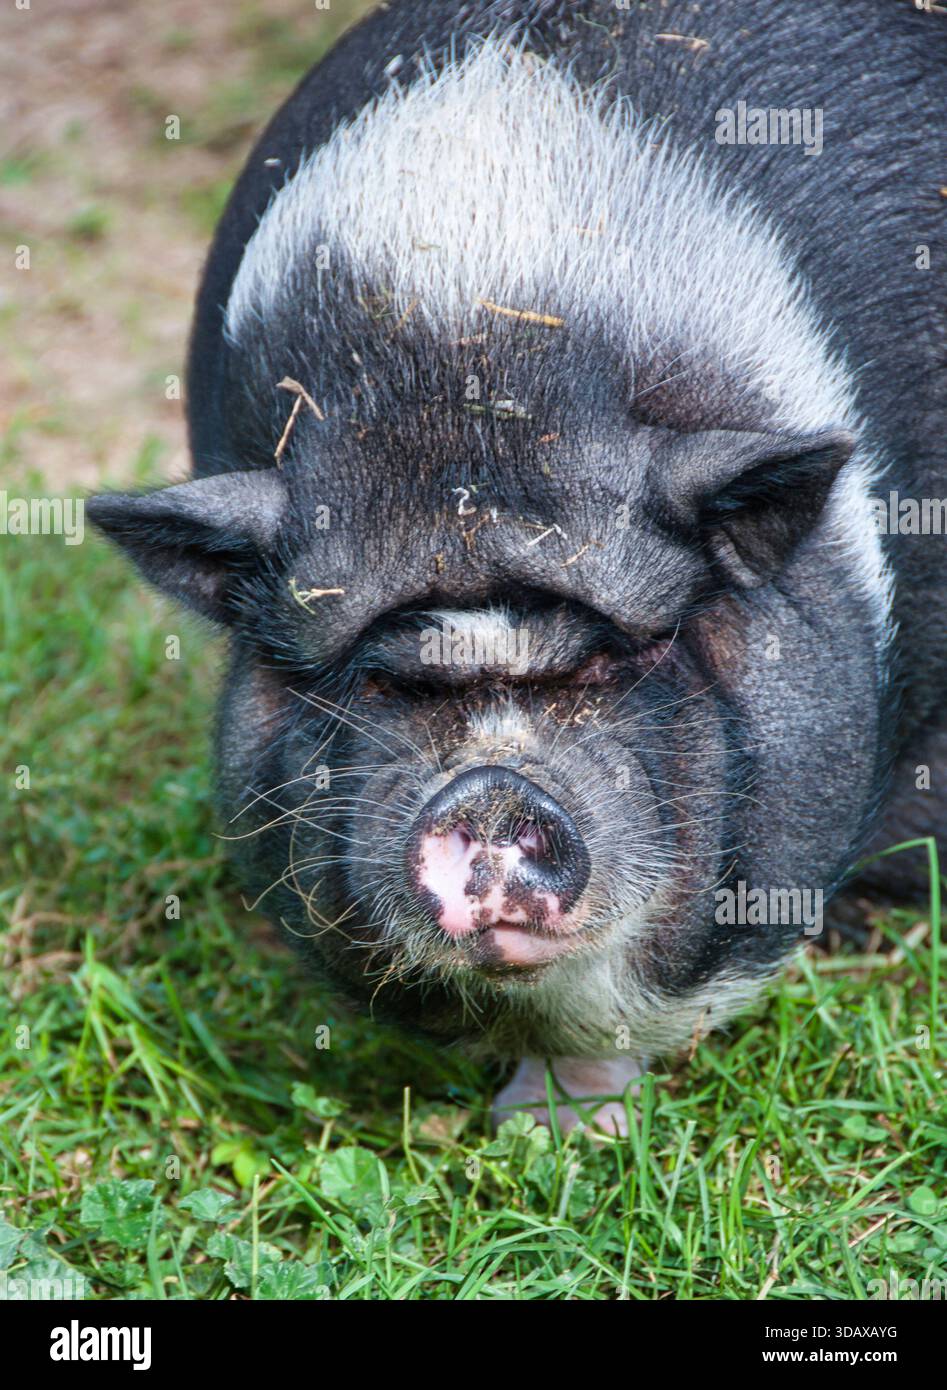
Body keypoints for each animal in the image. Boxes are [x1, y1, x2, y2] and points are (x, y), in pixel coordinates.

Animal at [88, 0, 946, 1133]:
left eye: (618, 659)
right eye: (378, 679)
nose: (491, 793)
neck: (466, 351)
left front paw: (582, 1132)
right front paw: (537, 1133)